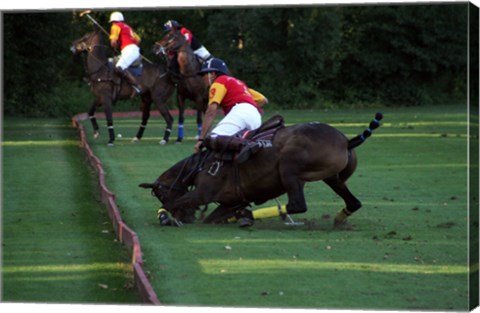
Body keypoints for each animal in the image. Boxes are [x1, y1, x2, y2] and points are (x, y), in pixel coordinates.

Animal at [139, 112, 382, 227]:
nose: (187, 218)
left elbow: (175, 203)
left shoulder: (202, 193)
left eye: (160, 193)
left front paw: (165, 216)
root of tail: (346, 141)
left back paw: (248, 217)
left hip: (289, 165)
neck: (198, 166)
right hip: (331, 176)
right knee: (353, 202)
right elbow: (212, 217)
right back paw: (340, 219)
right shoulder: (229, 202)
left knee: (297, 205)